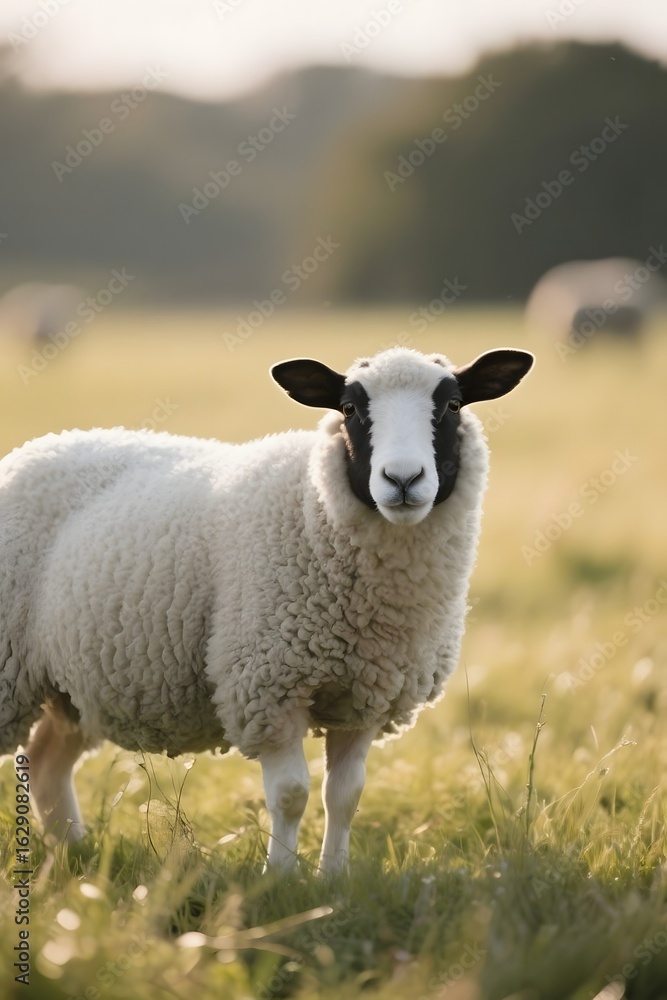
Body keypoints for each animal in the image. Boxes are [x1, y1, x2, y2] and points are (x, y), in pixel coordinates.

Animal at [0, 345, 533, 872]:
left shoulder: (366, 695)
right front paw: (279, 877)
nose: (403, 479)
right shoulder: (268, 687)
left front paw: (332, 878)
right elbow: (292, 794)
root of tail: (43, 444)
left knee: (46, 762)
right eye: (349, 409)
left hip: (69, 688)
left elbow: (346, 796)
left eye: (453, 405)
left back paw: (72, 852)